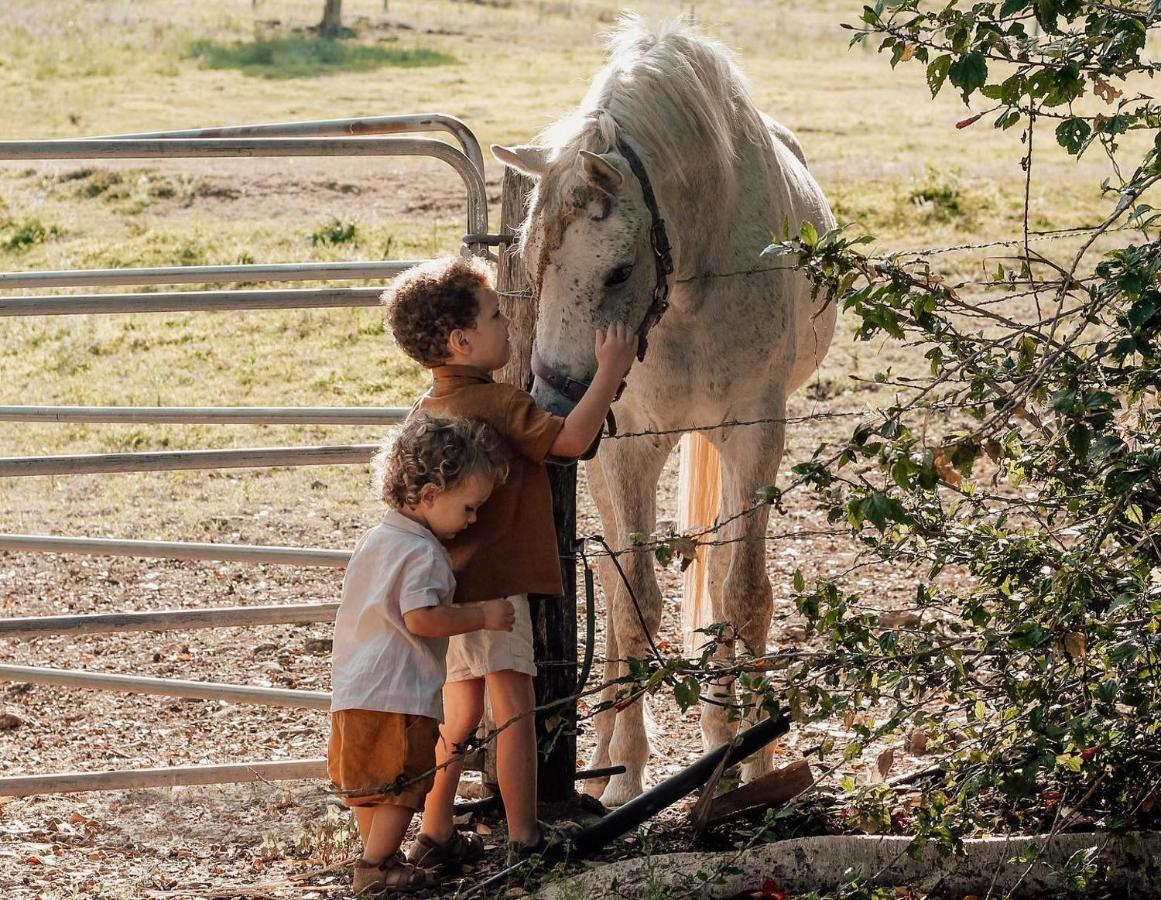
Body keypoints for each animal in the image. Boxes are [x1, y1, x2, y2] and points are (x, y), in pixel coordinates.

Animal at [492, 17, 835, 808]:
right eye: (532, 260)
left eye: (617, 271)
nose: (554, 402)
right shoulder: (626, 448)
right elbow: (633, 604)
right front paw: (625, 771)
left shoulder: (753, 434)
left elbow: (743, 594)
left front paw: (746, 759)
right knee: (614, 580)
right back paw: (606, 753)